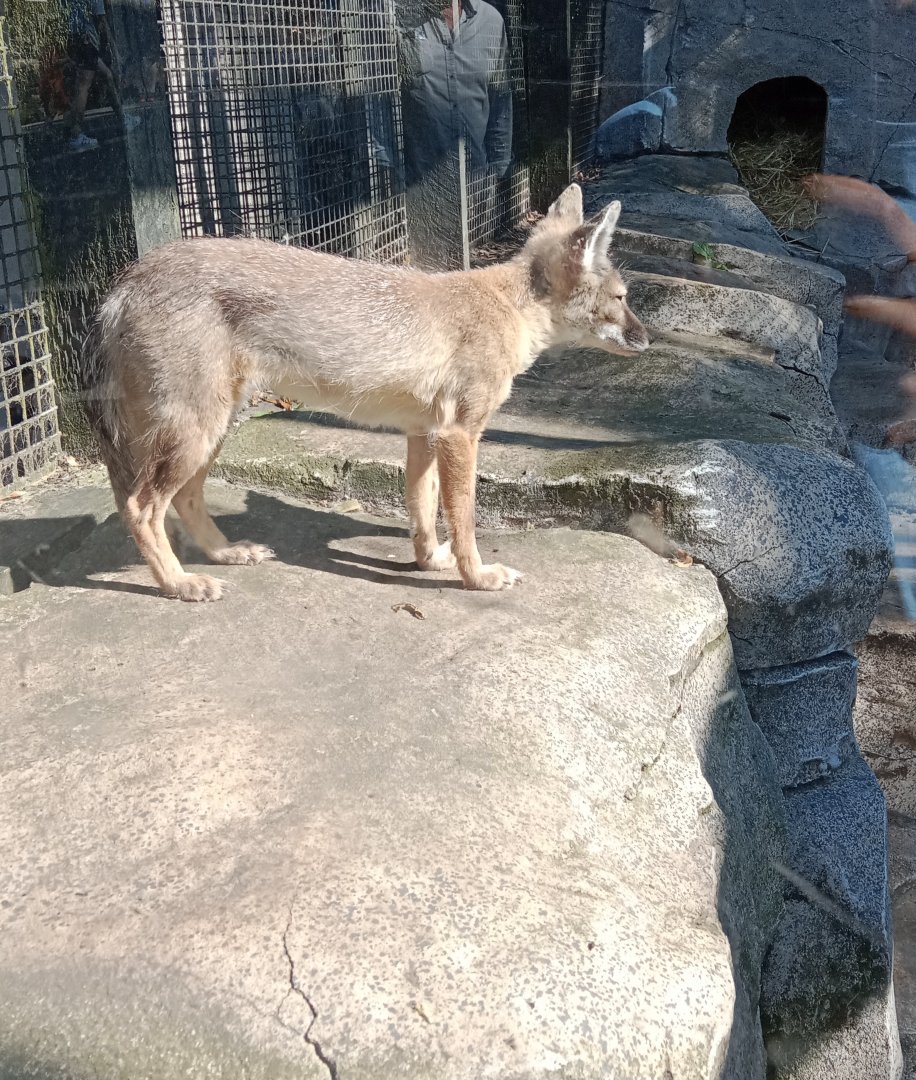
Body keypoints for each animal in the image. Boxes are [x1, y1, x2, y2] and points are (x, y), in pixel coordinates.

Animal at [80, 182, 650, 602]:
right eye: (623, 298)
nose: (649, 340)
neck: (507, 307)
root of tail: (126, 280)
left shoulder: (424, 433)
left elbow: (422, 510)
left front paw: (430, 562)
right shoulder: (461, 435)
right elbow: (463, 518)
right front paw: (476, 578)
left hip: (211, 432)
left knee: (184, 499)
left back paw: (223, 555)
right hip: (195, 433)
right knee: (140, 508)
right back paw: (179, 584)